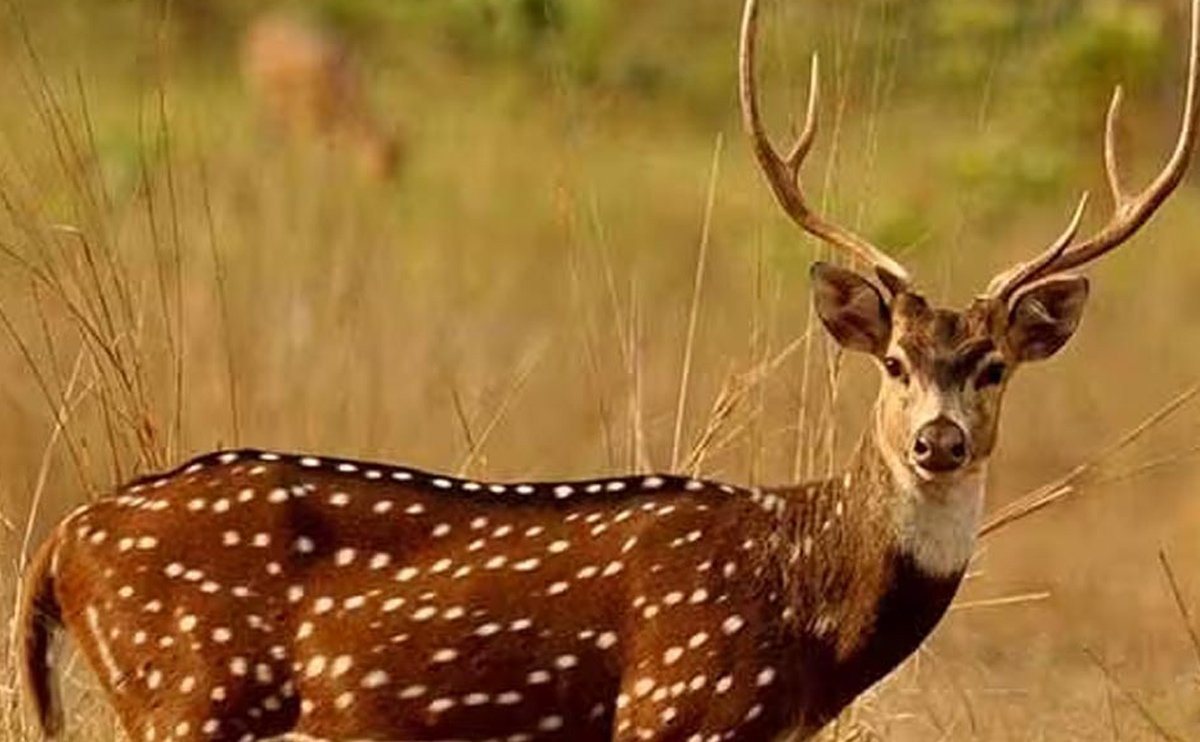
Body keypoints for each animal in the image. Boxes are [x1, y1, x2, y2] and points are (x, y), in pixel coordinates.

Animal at [241, 13, 401, 181]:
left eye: (399, 163)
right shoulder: (307, 118)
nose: (394, 184)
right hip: (258, 97)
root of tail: (257, 26)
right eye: (381, 163)